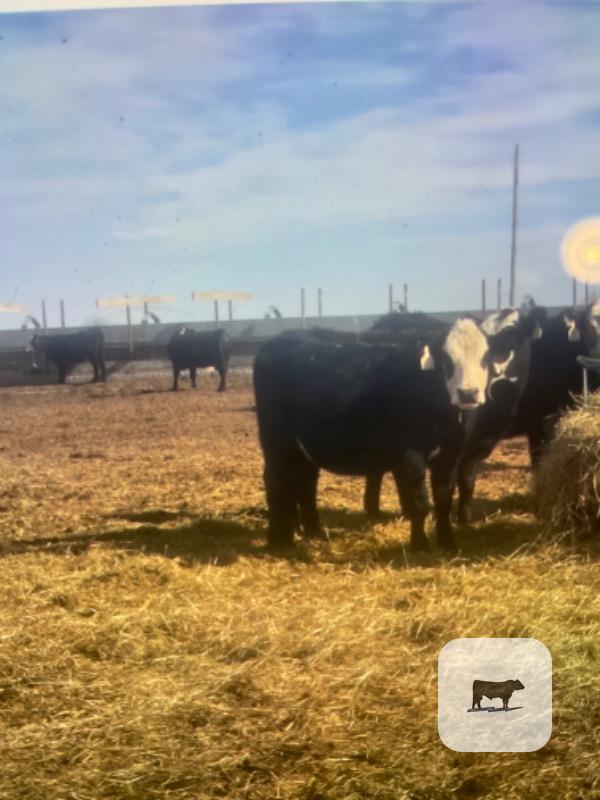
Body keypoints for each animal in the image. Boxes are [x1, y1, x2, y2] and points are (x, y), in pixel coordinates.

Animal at [254, 315, 495, 551]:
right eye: (446, 359)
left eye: (485, 357)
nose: (468, 393)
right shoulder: (409, 453)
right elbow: (419, 503)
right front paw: (420, 545)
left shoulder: (451, 454)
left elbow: (444, 500)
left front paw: (447, 542)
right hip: (276, 439)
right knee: (276, 480)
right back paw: (279, 539)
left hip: (302, 447)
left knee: (304, 481)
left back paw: (312, 531)